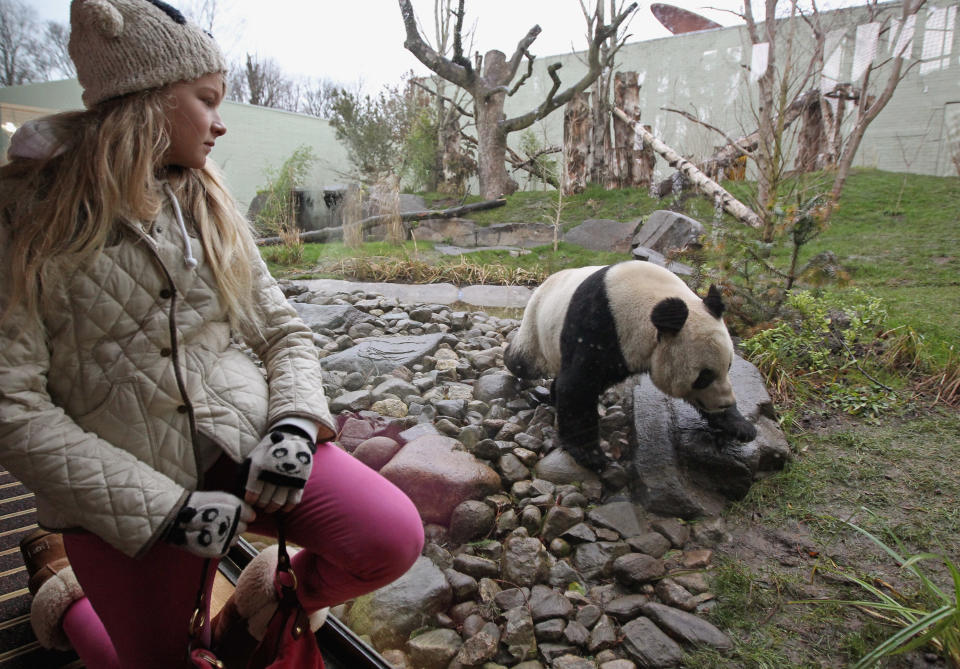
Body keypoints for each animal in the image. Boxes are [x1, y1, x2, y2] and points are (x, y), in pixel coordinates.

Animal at [502, 260, 756, 470]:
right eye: (703, 377)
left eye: (729, 366)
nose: (725, 403)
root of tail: (543, 284)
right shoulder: (597, 324)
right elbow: (578, 386)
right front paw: (591, 455)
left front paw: (740, 426)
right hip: (538, 325)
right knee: (523, 361)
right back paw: (509, 359)